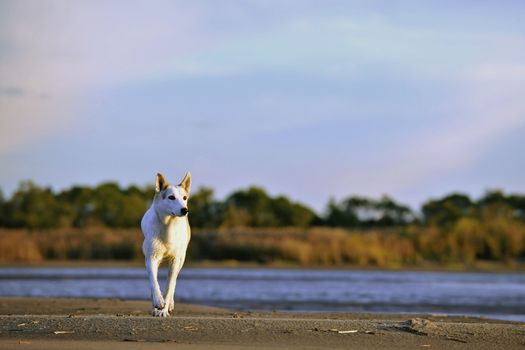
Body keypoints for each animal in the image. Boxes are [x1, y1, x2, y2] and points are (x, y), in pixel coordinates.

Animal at [141, 172, 192, 318]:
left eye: (185, 198)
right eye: (171, 197)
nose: (185, 210)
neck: (168, 225)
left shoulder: (175, 260)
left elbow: (169, 286)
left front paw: (164, 310)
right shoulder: (151, 257)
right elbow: (154, 281)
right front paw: (158, 301)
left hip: (181, 260)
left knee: (173, 281)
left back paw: (169, 305)